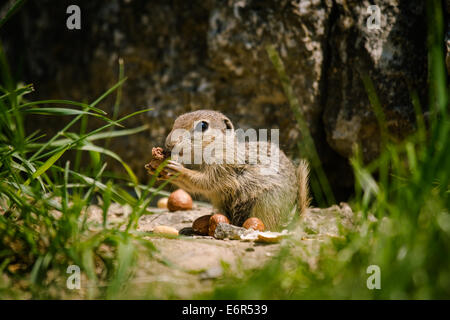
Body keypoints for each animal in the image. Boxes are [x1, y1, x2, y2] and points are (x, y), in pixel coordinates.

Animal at [148, 110, 310, 230]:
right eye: (176, 121)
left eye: (203, 126)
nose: (170, 143)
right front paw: (156, 169)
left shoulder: (224, 169)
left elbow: (203, 182)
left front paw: (178, 170)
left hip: (265, 203)